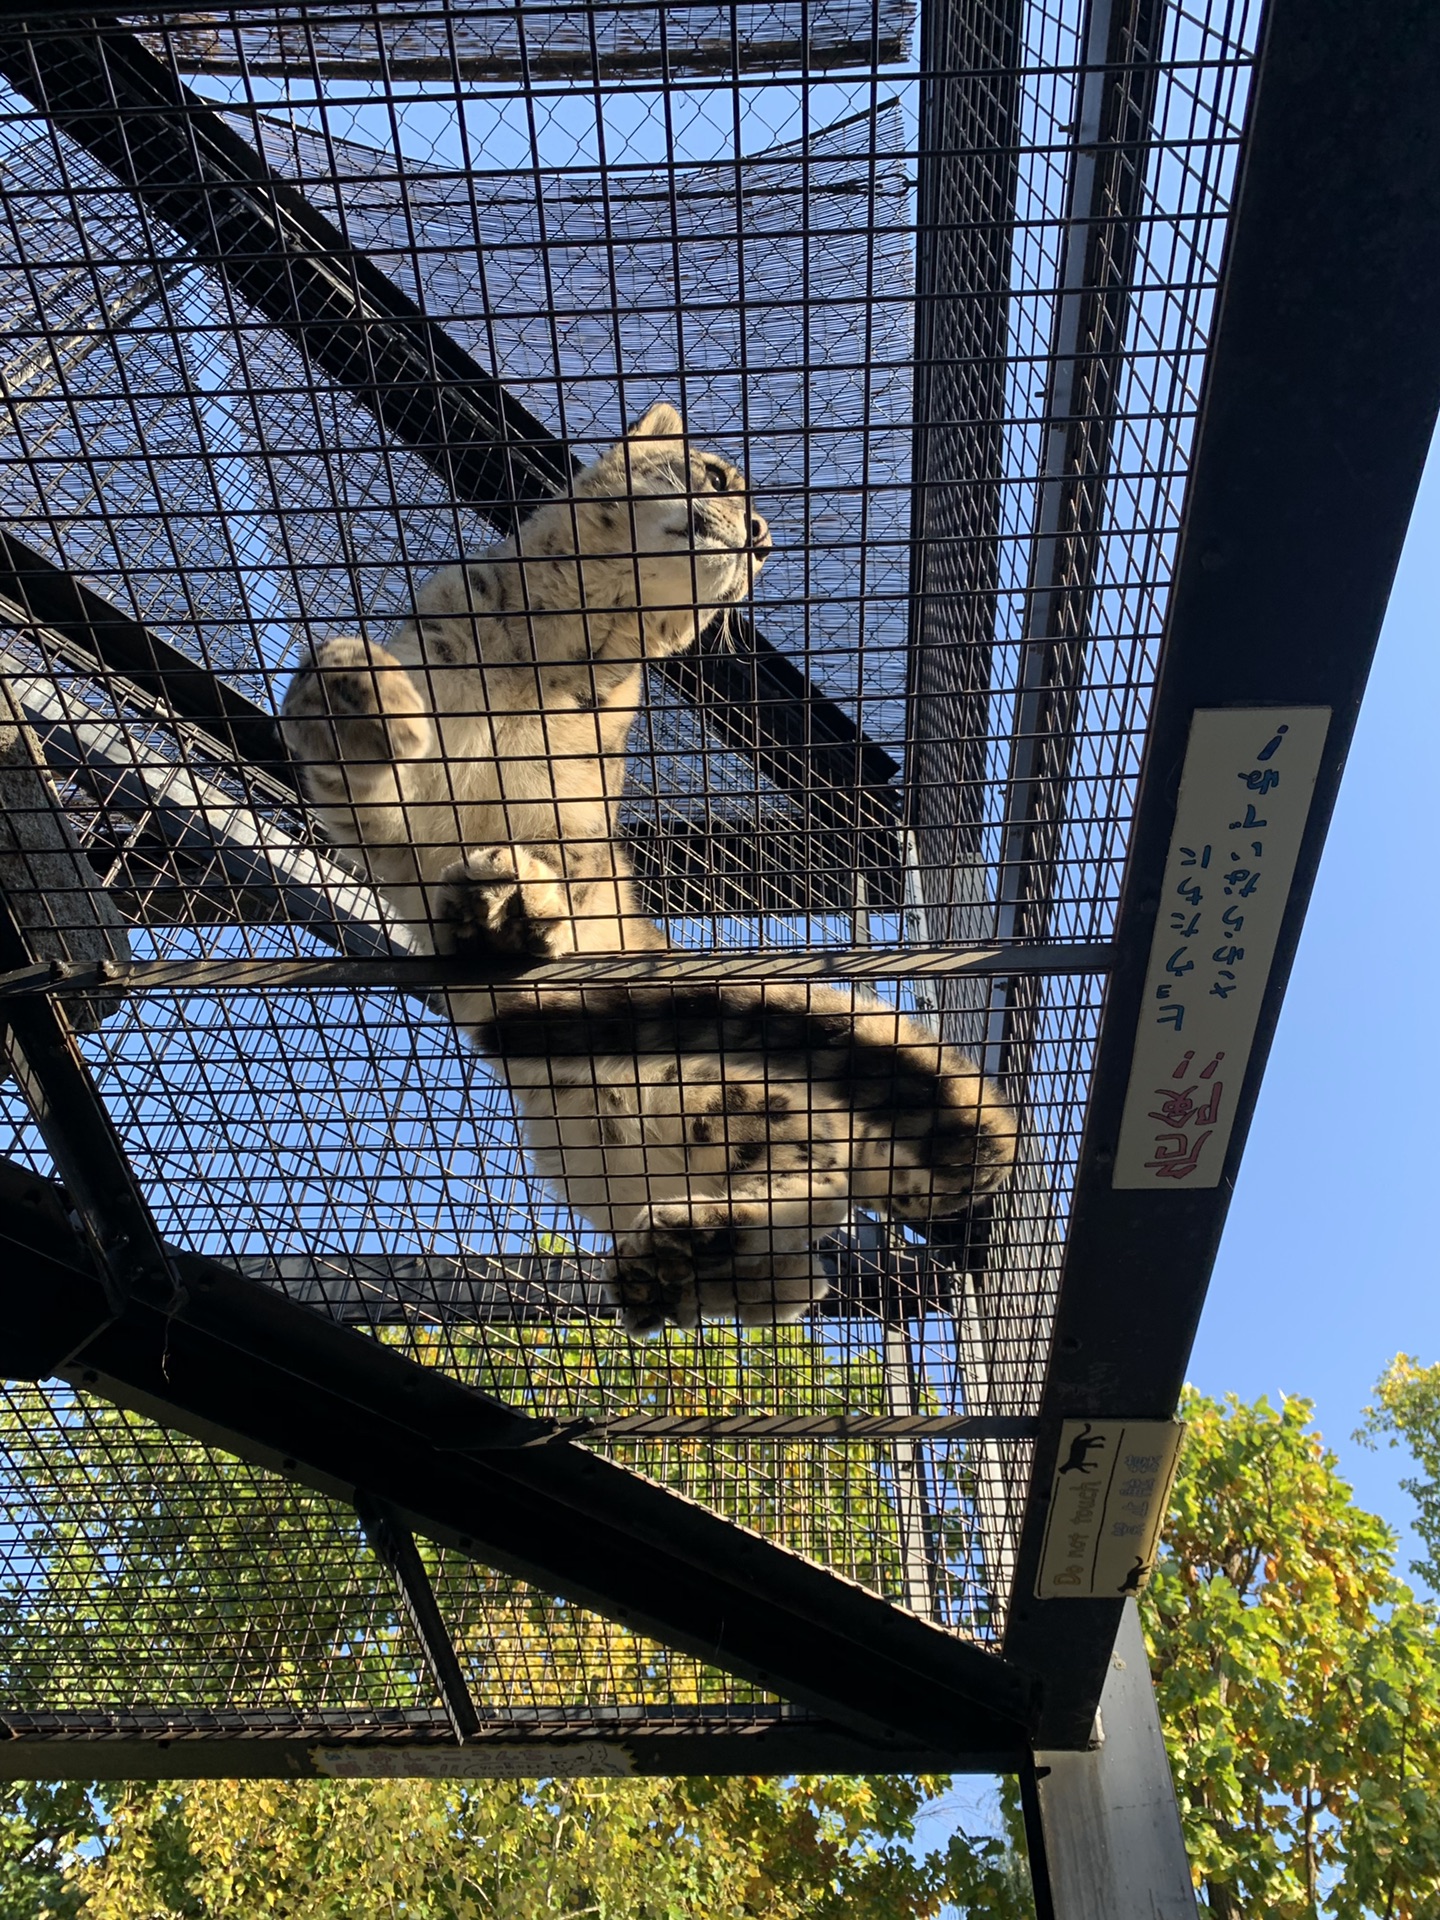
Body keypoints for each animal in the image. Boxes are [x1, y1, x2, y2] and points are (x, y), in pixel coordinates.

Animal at [282, 401, 1013, 1336]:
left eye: (763, 534)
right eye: (717, 476)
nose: (759, 539)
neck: (541, 650)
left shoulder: (572, 821)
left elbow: (561, 869)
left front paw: (520, 900)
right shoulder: (387, 816)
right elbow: (335, 704)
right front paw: (367, 689)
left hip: (734, 1100)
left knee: (797, 1195)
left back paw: (682, 1241)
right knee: (796, 1275)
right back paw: (666, 1269)